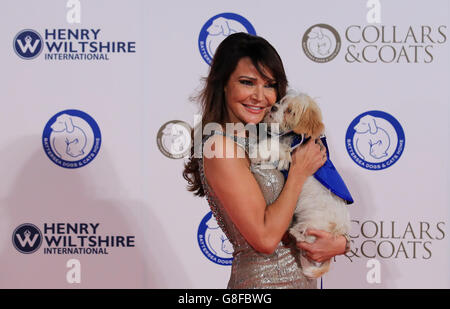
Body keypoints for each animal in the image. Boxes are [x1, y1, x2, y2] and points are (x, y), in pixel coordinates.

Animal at [255, 92, 350, 278]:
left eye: (290, 111)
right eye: (282, 102)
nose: (274, 107)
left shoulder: (290, 150)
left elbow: (275, 145)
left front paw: (257, 150)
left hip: (315, 227)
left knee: (304, 237)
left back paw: (294, 232)